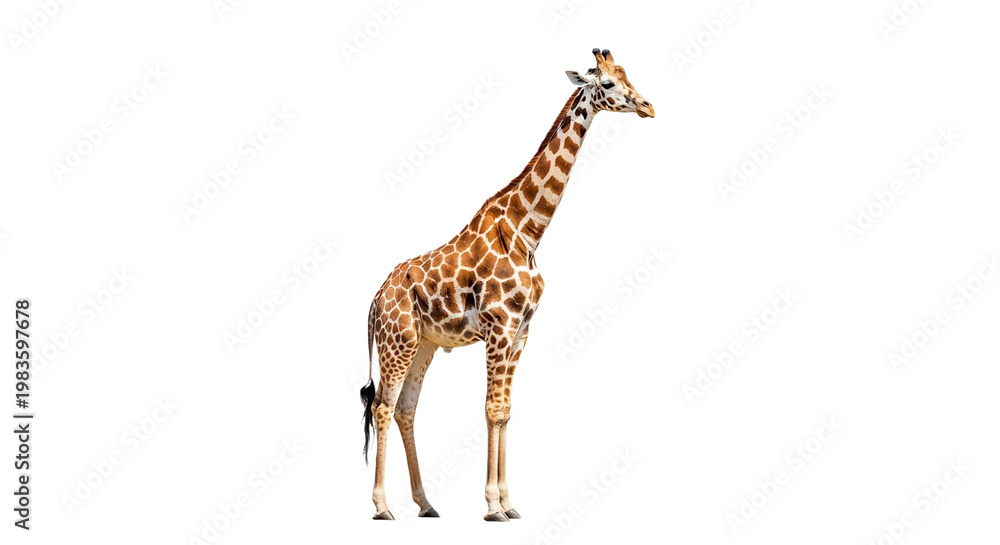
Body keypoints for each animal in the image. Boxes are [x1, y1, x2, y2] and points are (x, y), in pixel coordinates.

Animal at [360, 48, 655, 521]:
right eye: (608, 83)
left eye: (628, 75)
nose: (648, 106)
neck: (528, 230)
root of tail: (374, 300)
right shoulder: (498, 327)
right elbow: (490, 408)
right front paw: (493, 505)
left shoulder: (521, 332)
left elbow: (505, 411)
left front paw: (508, 503)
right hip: (397, 341)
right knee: (383, 407)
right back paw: (383, 506)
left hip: (423, 344)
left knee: (406, 409)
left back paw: (425, 503)